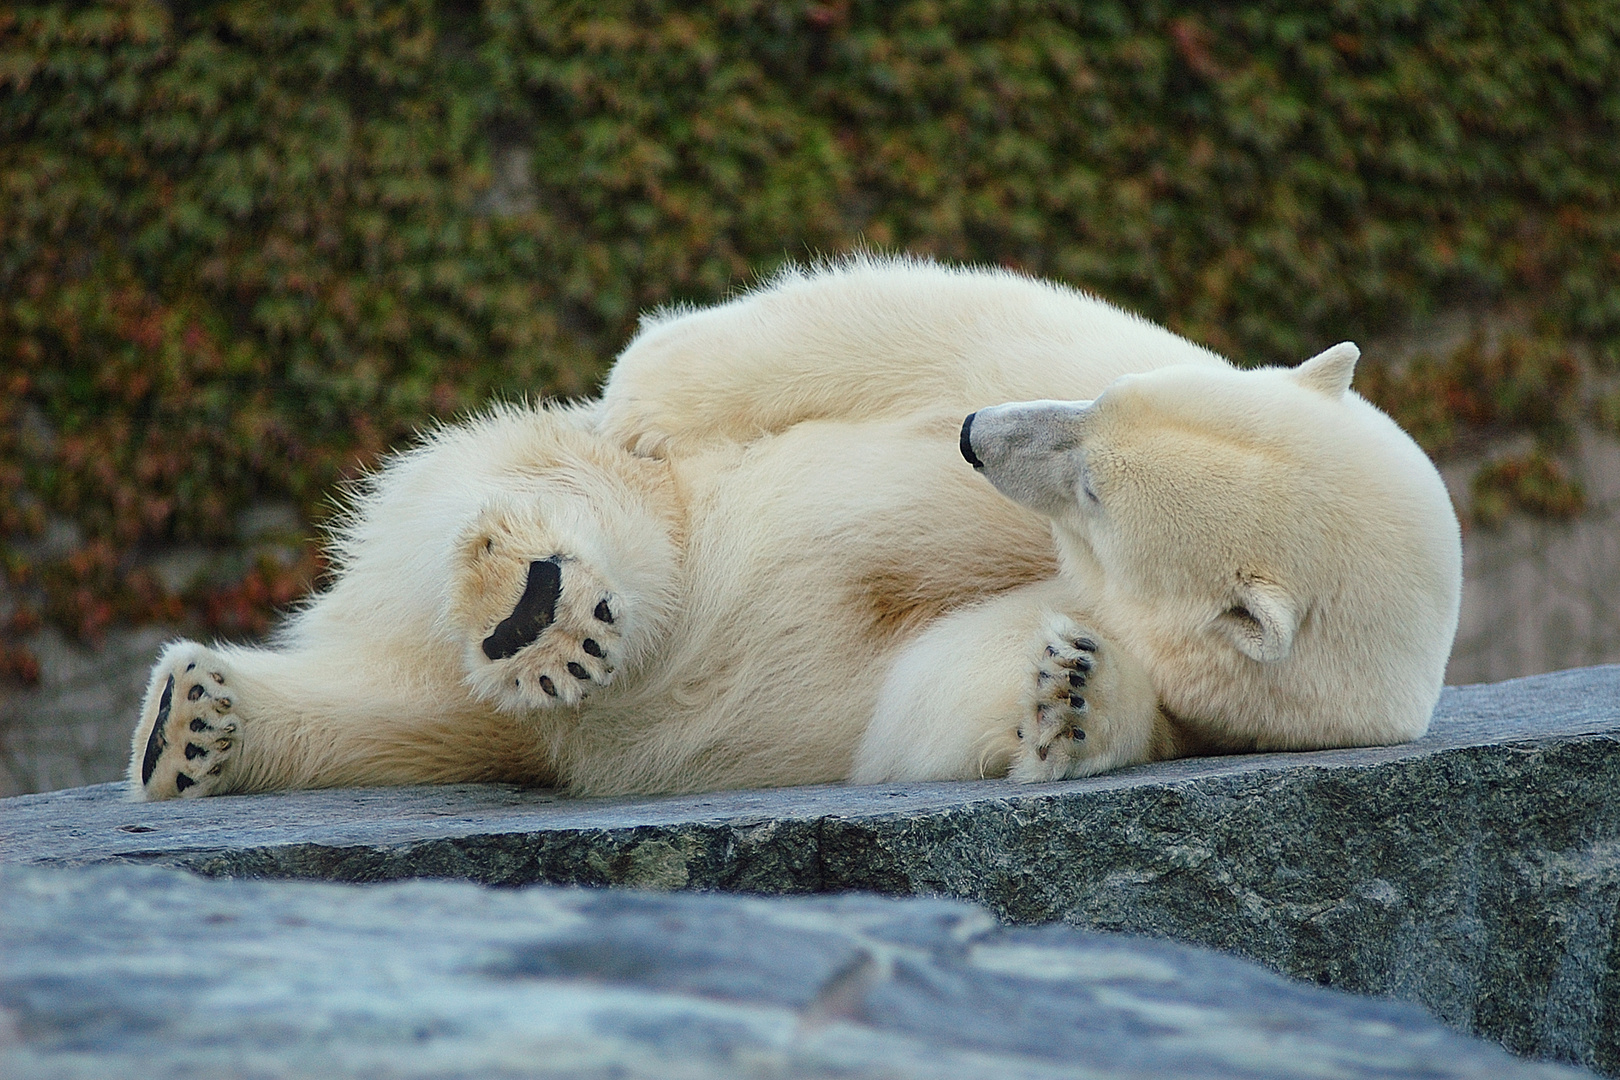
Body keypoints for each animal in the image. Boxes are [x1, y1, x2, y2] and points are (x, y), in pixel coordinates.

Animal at [132, 259, 1464, 803]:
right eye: (1098, 410)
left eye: (1093, 488)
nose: (980, 437)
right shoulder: (1065, 349)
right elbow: (912, 316)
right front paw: (650, 392)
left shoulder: (1213, 699)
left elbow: (934, 699)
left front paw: (1076, 696)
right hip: (606, 502)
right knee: (581, 523)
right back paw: (537, 602)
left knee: (441, 721)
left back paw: (207, 724)